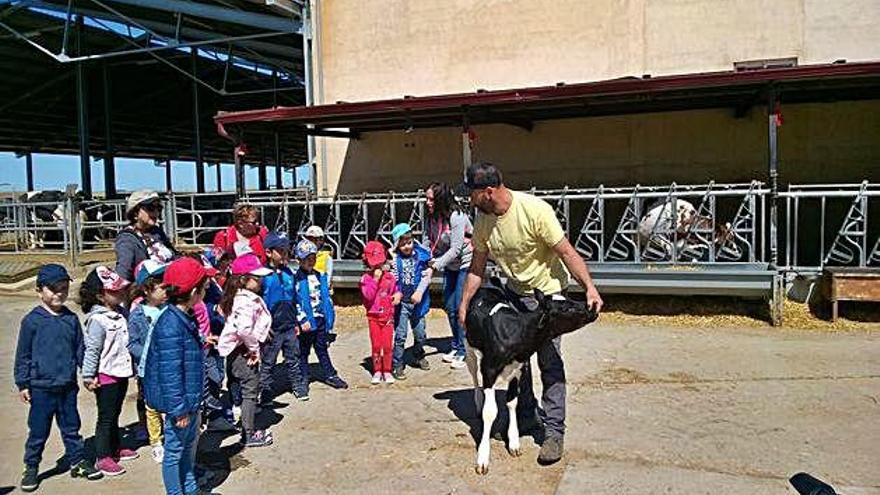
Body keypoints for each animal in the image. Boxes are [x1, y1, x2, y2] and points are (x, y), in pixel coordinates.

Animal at [460, 280, 600, 476]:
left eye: (570, 299)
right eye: (567, 308)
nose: (592, 308)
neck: (515, 334)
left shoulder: (518, 369)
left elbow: (512, 403)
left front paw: (514, 442)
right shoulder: (489, 370)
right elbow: (490, 412)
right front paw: (483, 458)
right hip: (470, 350)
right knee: (474, 377)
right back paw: (478, 401)